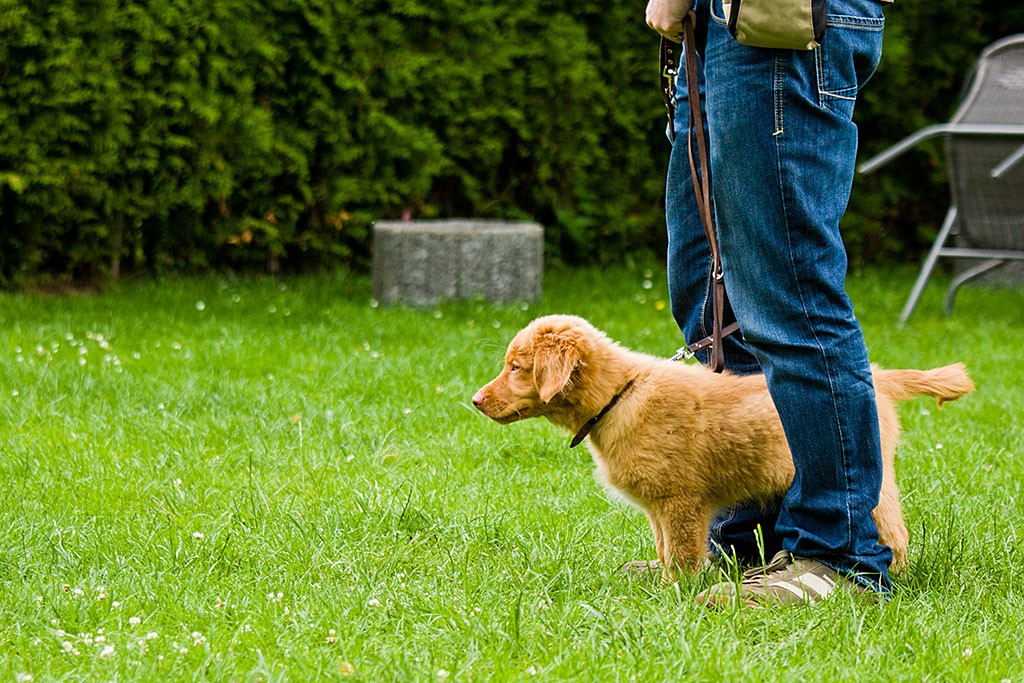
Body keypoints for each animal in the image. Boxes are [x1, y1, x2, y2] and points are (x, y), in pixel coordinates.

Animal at [471, 313, 974, 577]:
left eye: (516, 368)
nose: (475, 401)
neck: (619, 396)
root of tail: (877, 377)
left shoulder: (681, 501)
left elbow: (682, 554)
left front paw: (676, 592)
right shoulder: (660, 507)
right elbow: (663, 547)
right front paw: (657, 577)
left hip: (876, 481)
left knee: (892, 533)